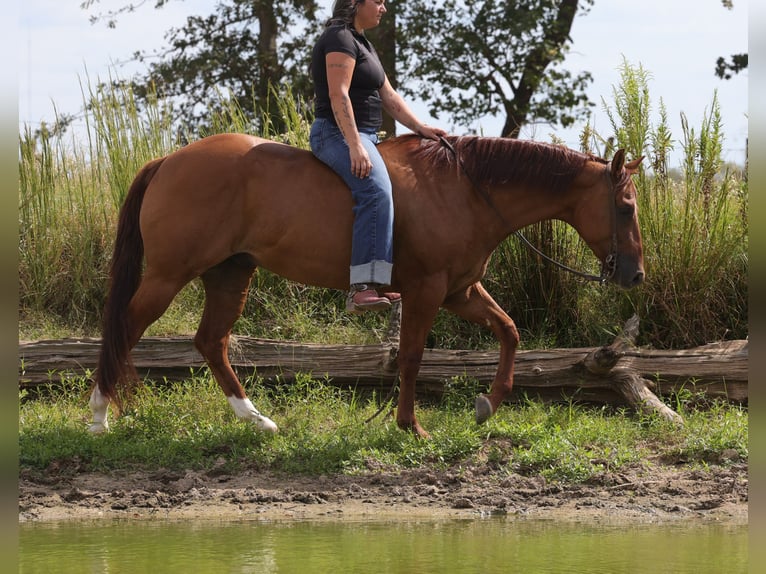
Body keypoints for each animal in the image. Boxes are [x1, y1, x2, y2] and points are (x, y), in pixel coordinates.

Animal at [89, 133, 645, 439]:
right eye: (626, 207)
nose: (635, 275)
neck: (464, 190)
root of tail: (168, 161)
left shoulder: (460, 291)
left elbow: (508, 332)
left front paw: (488, 404)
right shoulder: (428, 291)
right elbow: (412, 357)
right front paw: (410, 426)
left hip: (230, 274)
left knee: (211, 342)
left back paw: (257, 420)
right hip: (168, 276)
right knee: (122, 329)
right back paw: (98, 417)